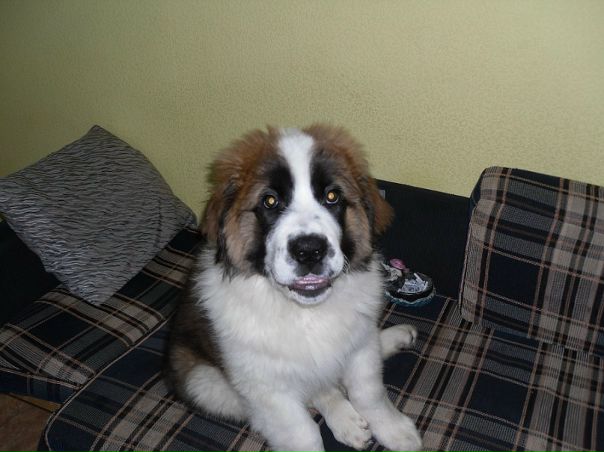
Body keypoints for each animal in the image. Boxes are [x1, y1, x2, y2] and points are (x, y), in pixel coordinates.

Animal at [166, 125, 422, 452]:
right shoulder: (265, 388)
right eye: (270, 202)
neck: (304, 312)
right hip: (205, 383)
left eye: (332, 196)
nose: (309, 251)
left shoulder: (361, 348)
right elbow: (303, 432)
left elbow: (369, 392)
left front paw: (395, 430)